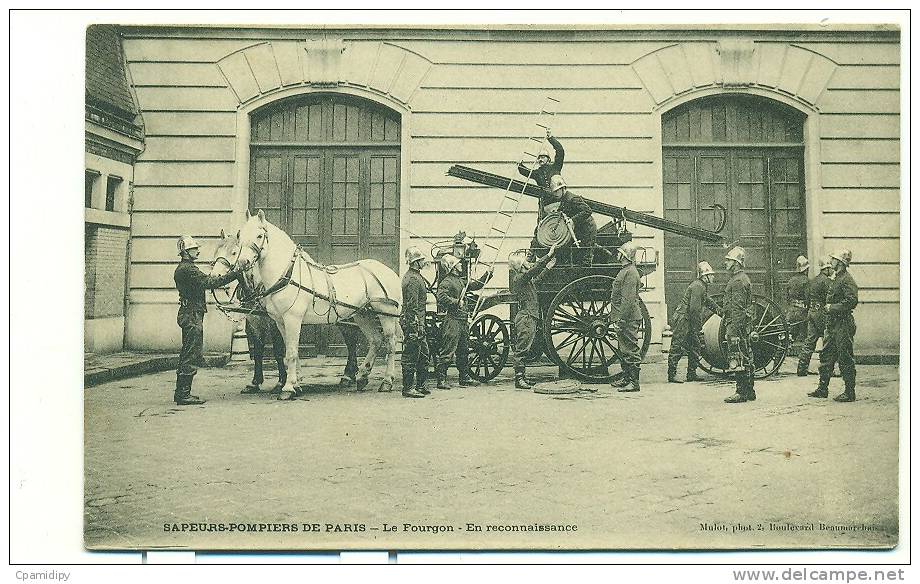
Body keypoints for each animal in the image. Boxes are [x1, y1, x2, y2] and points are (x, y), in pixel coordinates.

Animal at [234, 209, 398, 396]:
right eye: (239, 235)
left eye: (260, 235)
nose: (243, 262)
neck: (288, 274)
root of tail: (388, 270)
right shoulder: (280, 322)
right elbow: (289, 352)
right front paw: (296, 383)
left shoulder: (292, 319)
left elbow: (291, 352)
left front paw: (288, 388)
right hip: (363, 315)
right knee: (375, 340)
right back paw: (363, 376)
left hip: (386, 314)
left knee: (390, 344)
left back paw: (387, 381)